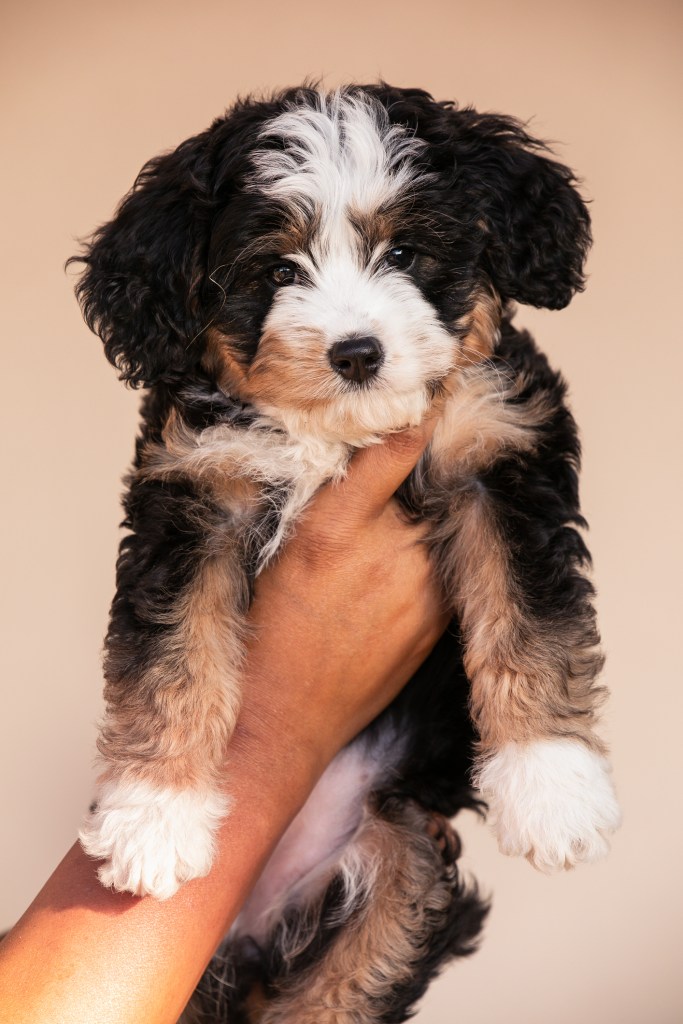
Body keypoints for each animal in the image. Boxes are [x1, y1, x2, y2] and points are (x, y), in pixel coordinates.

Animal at [70, 81, 618, 1024]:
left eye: (405, 252)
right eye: (277, 272)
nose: (356, 352)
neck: (338, 436)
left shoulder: (498, 448)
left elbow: (530, 614)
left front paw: (550, 786)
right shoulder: (197, 492)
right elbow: (173, 655)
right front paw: (154, 814)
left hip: (399, 877)